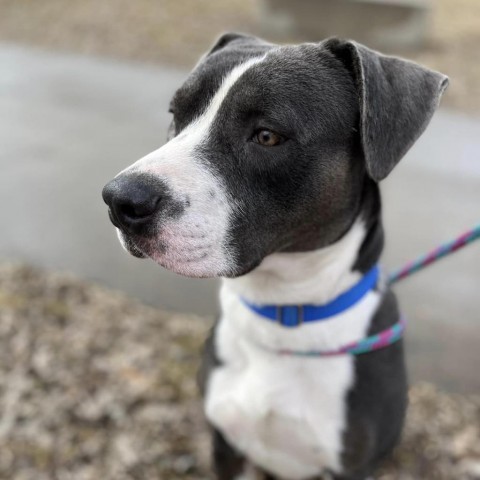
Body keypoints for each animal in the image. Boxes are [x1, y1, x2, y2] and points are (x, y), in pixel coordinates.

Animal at [102, 33, 450, 480]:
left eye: (267, 136)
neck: (281, 313)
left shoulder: (352, 466)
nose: (120, 200)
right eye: (176, 115)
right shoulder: (225, 443)